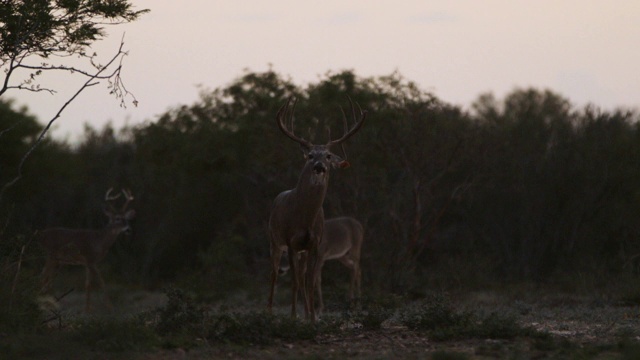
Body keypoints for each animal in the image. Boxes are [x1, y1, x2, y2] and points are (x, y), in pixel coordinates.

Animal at [264, 97, 364, 322]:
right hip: (274, 241)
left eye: (328, 155)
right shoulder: (291, 242)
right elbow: (295, 282)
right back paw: (270, 313)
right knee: (273, 274)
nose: (319, 166)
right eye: (310, 155)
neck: (305, 219)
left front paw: (312, 318)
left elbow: (309, 282)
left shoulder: (314, 244)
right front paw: (294, 316)